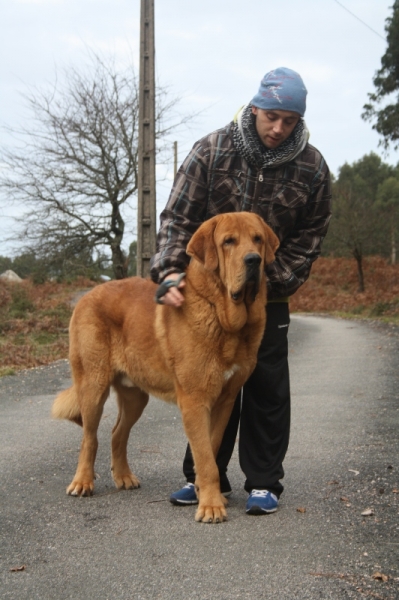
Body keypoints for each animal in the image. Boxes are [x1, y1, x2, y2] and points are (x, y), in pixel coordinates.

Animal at [51, 213, 280, 524]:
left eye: (257, 239)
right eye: (228, 241)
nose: (253, 260)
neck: (222, 316)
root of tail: (87, 294)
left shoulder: (225, 400)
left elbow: (210, 450)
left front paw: (206, 495)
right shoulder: (195, 401)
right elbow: (205, 458)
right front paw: (210, 506)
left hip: (136, 396)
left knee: (117, 433)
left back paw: (124, 477)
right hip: (93, 385)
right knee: (90, 437)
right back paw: (82, 482)